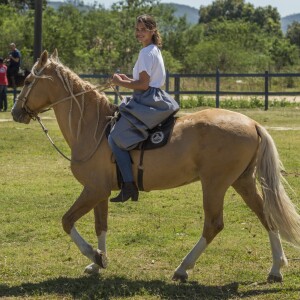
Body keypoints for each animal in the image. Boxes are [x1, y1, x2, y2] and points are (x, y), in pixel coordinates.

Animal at [11, 49, 300, 284]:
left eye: (28, 81)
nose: (15, 112)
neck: (93, 127)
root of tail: (252, 123)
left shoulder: (93, 190)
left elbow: (67, 221)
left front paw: (94, 255)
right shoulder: (100, 192)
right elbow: (100, 225)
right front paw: (98, 261)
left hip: (215, 184)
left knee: (213, 224)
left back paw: (183, 268)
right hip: (242, 181)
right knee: (266, 215)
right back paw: (276, 269)